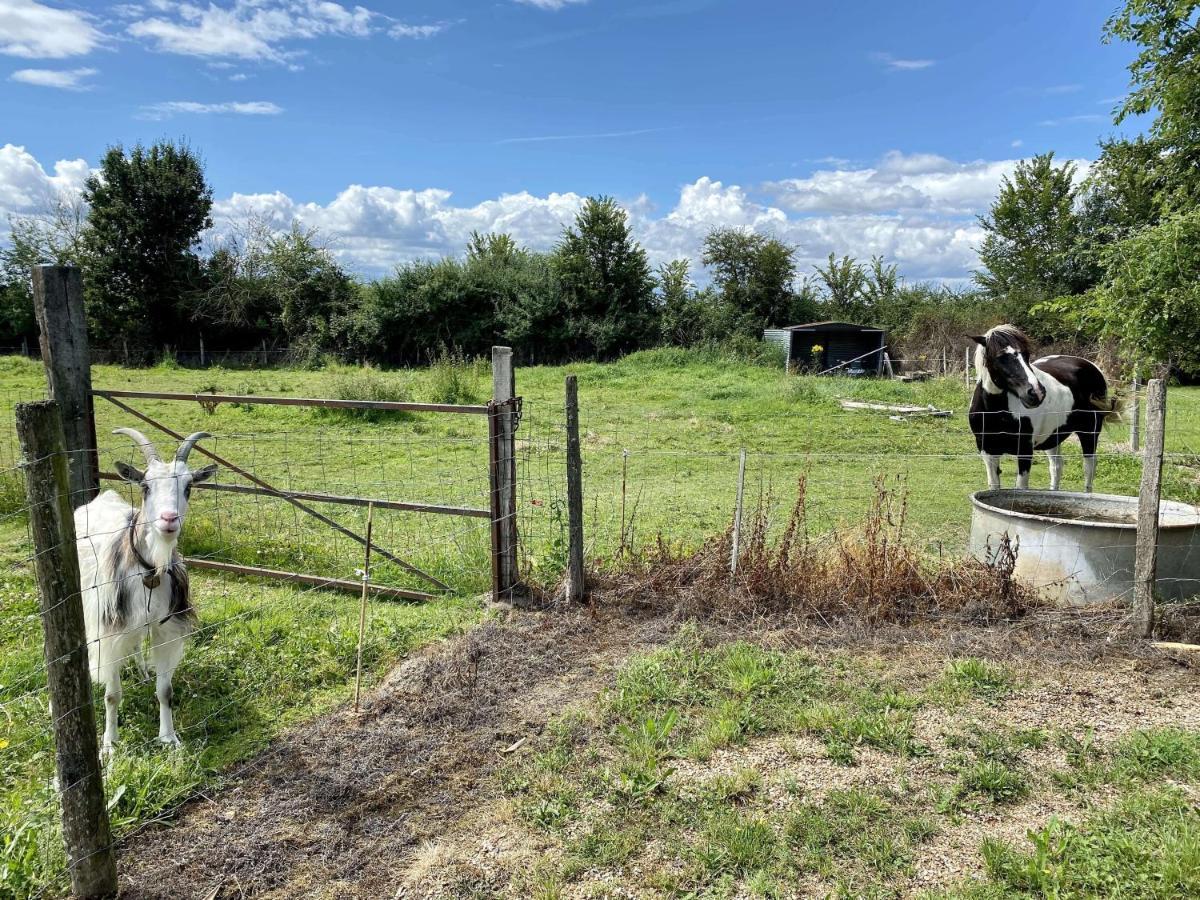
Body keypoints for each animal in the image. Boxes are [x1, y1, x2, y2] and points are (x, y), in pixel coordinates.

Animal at [75, 429, 217, 753]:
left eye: (188, 486)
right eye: (145, 486)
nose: (169, 519)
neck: (149, 571)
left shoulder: (165, 628)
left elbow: (165, 690)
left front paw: (169, 737)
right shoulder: (110, 629)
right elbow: (112, 695)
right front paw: (109, 743)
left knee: (138, 644)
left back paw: (141, 671)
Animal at [960, 326, 1118, 494]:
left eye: (1026, 355)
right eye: (1000, 357)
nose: (1037, 393)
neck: (995, 412)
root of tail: (1092, 366)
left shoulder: (1025, 451)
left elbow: (1021, 488)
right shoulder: (987, 452)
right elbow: (994, 486)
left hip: (1089, 433)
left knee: (1089, 467)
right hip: (1054, 437)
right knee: (1056, 467)